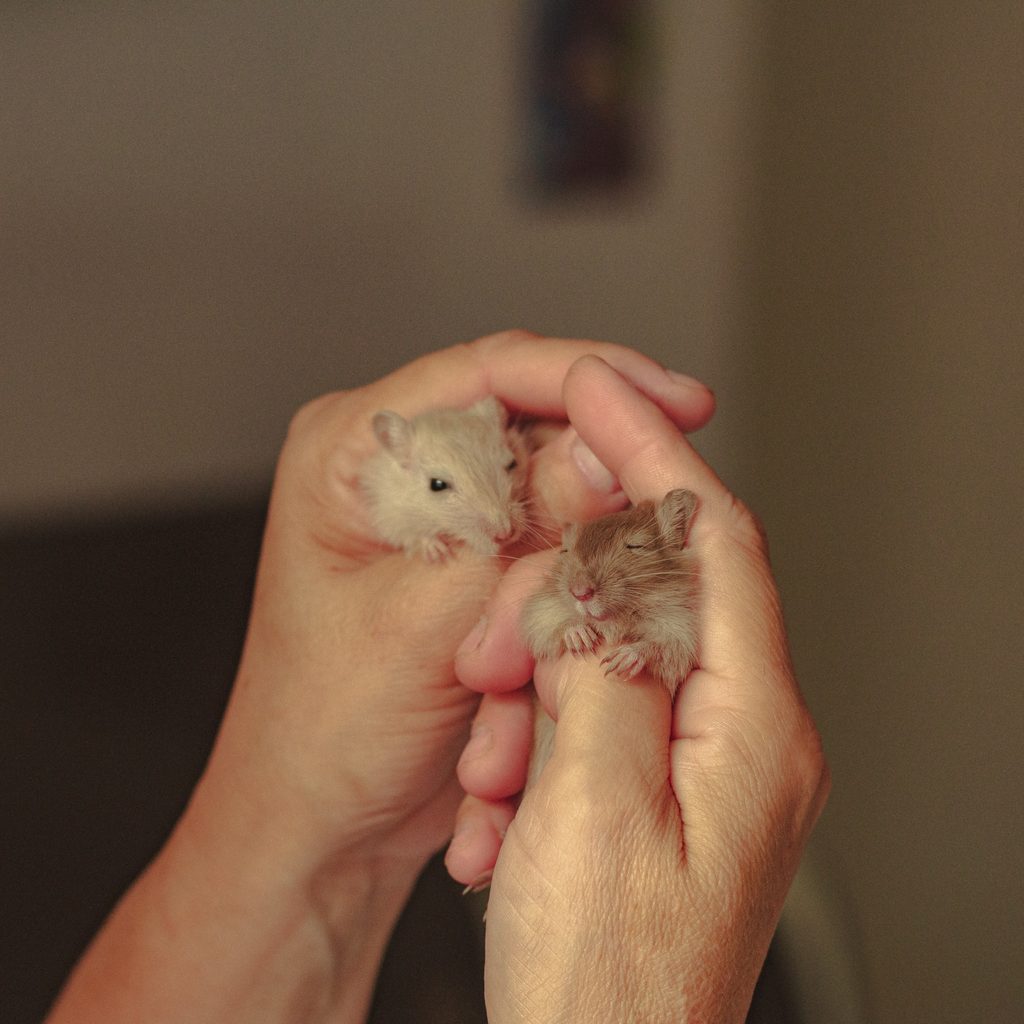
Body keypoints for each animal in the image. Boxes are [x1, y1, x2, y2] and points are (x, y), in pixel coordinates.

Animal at [521, 488, 700, 694]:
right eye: (565, 551)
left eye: (636, 546)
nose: (580, 593)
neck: (614, 621)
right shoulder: (542, 613)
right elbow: (555, 624)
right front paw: (581, 638)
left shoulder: (679, 632)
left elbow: (661, 646)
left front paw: (619, 662)